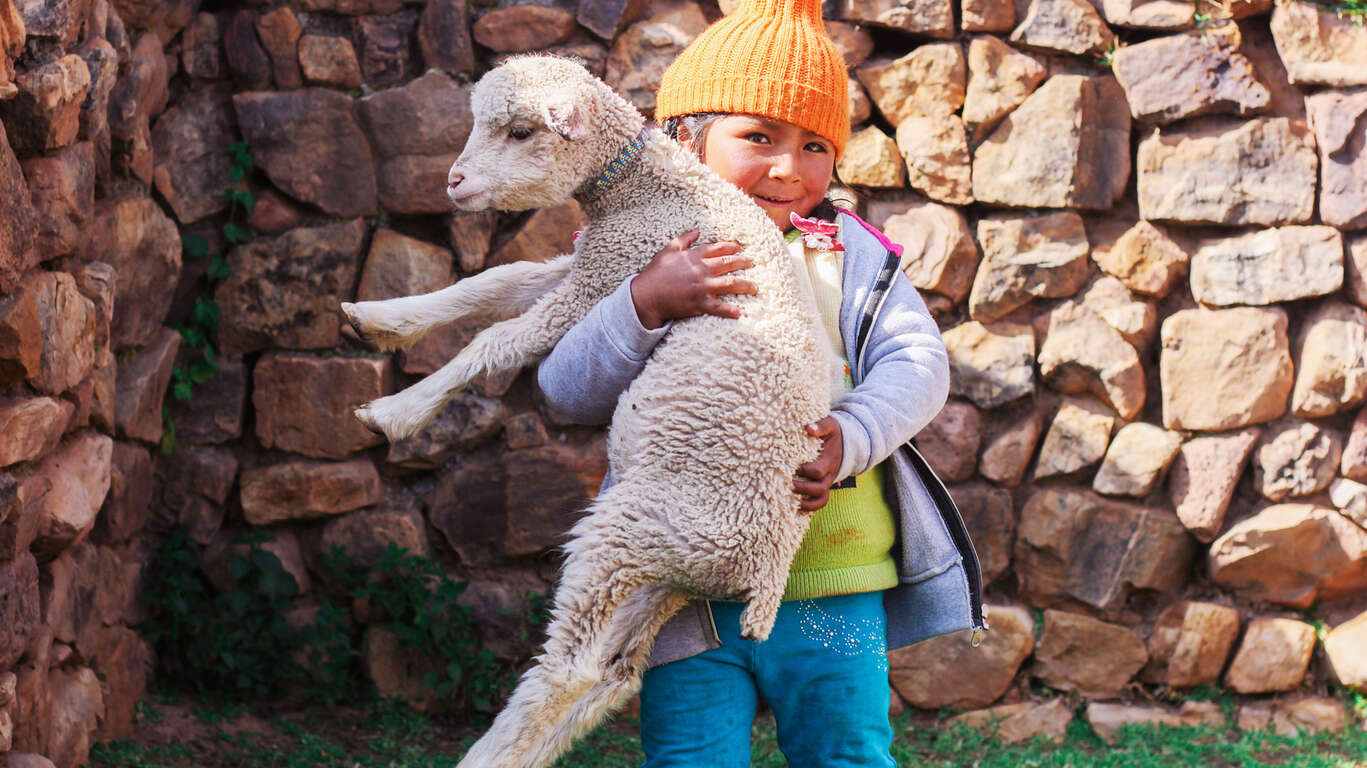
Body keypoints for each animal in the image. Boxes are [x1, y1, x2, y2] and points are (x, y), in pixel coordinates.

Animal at [336, 55, 836, 765]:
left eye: (520, 131)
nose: (454, 182)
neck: (647, 188)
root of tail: (764, 575)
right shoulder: (592, 264)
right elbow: (493, 282)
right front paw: (377, 319)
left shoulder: (609, 275)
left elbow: (499, 339)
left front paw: (396, 411)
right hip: (666, 577)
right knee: (613, 674)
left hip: (630, 534)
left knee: (570, 669)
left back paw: (487, 755)